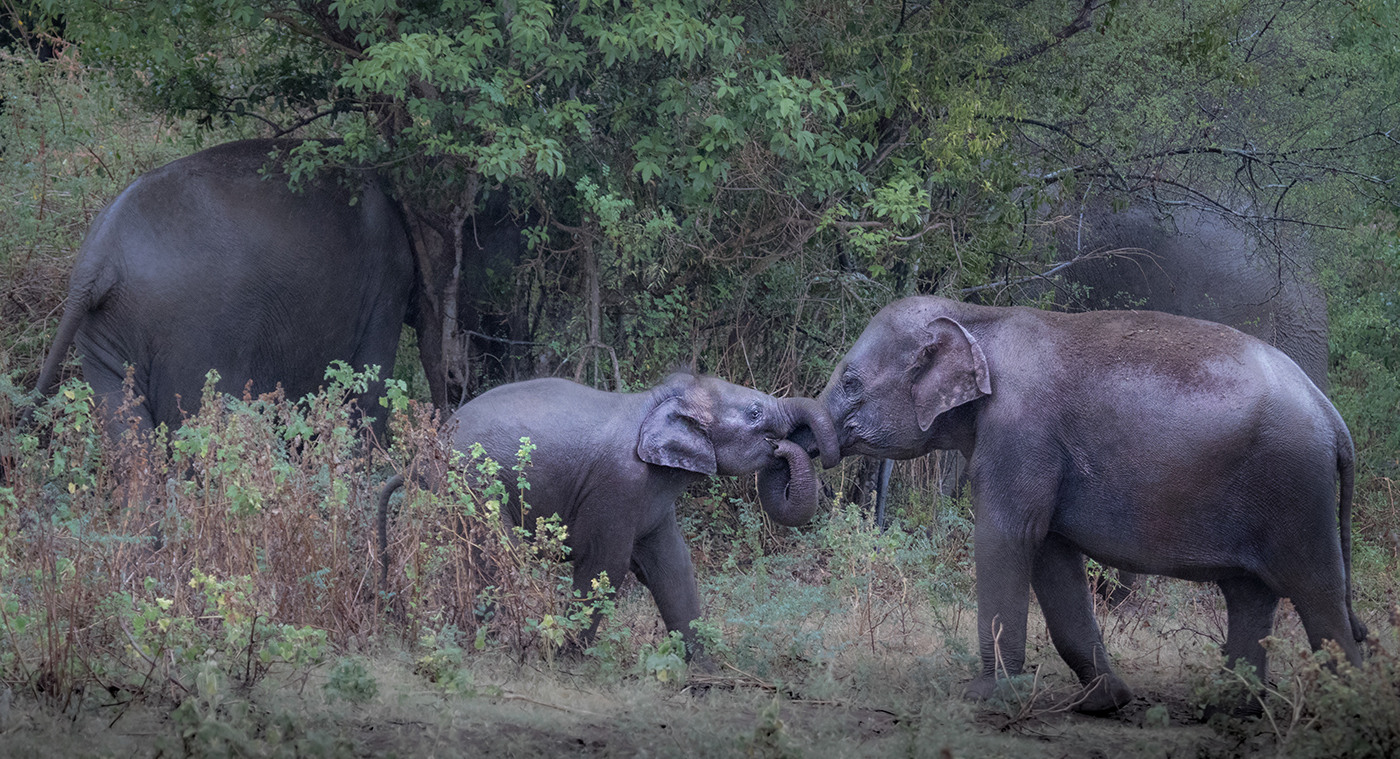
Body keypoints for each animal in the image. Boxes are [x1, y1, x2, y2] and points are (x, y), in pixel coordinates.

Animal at [378, 372, 834, 658]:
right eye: (755, 413)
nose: (783, 447)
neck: (654, 400)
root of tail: (421, 459)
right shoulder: (619, 485)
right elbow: (605, 568)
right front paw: (566, 659)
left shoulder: (652, 500)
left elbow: (674, 569)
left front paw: (707, 677)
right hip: (472, 487)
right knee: (493, 555)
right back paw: (501, 645)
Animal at [817, 295, 1366, 714]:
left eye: (850, 382)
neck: (977, 316)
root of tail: (1333, 417)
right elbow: (1050, 553)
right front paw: (1106, 703)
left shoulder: (1022, 433)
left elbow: (1007, 538)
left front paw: (985, 699)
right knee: (1251, 594)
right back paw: (1229, 709)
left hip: (1297, 491)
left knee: (1317, 593)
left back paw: (1348, 711)